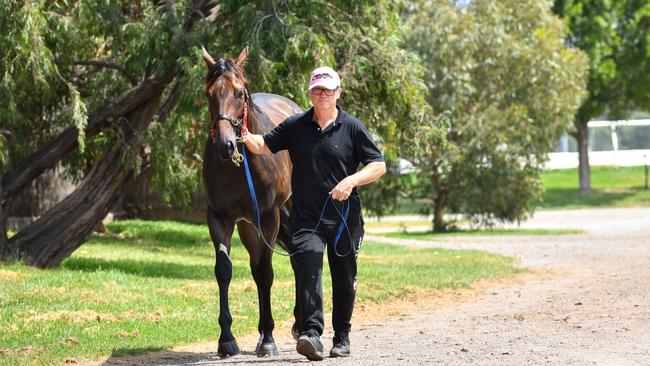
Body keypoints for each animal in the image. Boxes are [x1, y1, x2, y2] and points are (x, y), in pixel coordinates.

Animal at [200, 46, 302, 358]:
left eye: (239, 93)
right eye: (209, 94)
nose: (225, 145)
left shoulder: (269, 216)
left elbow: (265, 272)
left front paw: (268, 339)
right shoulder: (219, 218)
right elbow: (224, 271)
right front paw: (226, 339)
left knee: (295, 258)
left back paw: (298, 326)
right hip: (247, 225)